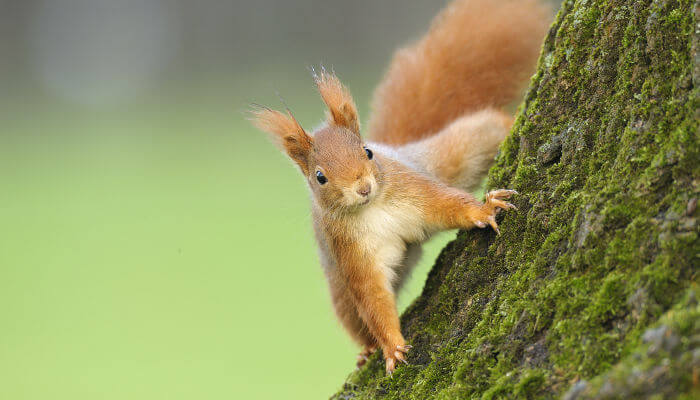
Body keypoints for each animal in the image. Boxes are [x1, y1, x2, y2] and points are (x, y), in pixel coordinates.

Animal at [249, 0, 548, 376]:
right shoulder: (349, 249)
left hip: (448, 155)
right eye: (320, 177)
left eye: (367, 152)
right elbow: (373, 298)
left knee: (483, 128)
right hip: (339, 290)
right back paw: (366, 350)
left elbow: (448, 205)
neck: (372, 208)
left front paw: (484, 209)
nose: (363, 187)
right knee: (353, 315)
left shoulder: (415, 190)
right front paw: (391, 347)